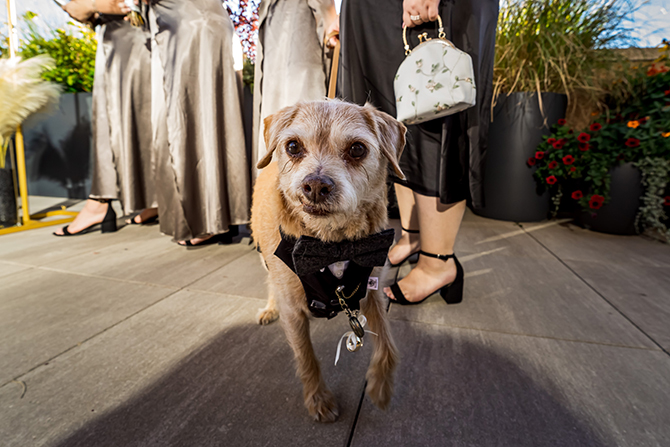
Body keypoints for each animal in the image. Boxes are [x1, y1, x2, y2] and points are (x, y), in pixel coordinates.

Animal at [252, 100, 406, 422]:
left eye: (357, 149)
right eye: (293, 146)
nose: (315, 185)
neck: (333, 244)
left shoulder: (371, 292)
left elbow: (388, 345)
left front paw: (380, 388)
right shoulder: (292, 310)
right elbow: (306, 356)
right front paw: (318, 399)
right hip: (265, 257)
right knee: (271, 281)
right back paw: (269, 309)